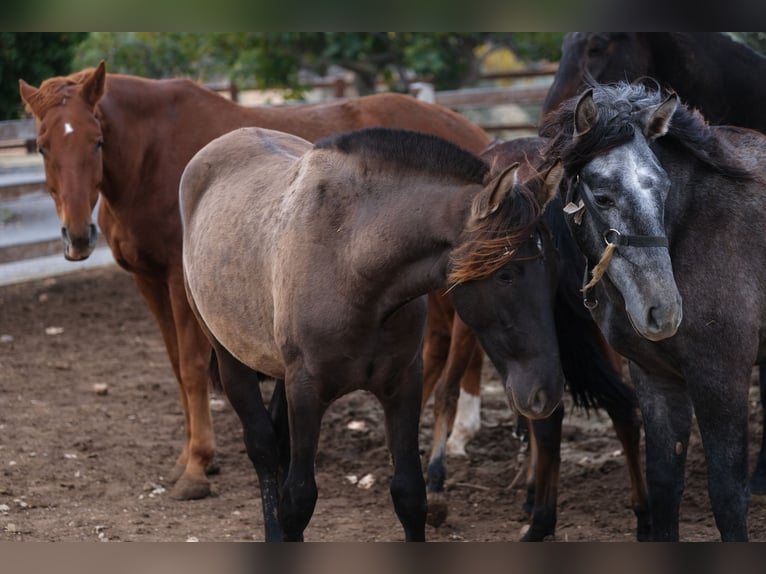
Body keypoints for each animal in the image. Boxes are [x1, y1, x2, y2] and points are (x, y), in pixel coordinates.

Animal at [18, 61, 491, 500]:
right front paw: (187, 458)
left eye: (96, 141)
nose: (77, 235)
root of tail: (472, 133)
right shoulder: (148, 281)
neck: (153, 153)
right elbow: (175, 366)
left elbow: (191, 369)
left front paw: (197, 465)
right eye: (42, 148)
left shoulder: (177, 282)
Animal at [179, 126, 565, 541]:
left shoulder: (403, 383)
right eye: (506, 275)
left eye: (554, 270)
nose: (546, 392)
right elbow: (298, 500)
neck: (351, 260)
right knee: (264, 446)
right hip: (231, 359)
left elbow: (410, 495)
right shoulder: (307, 390)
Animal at [541, 31, 766, 495]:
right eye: (602, 197)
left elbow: (727, 492)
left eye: (663, 187)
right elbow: (663, 483)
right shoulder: (655, 381)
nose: (662, 311)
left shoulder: (722, 381)